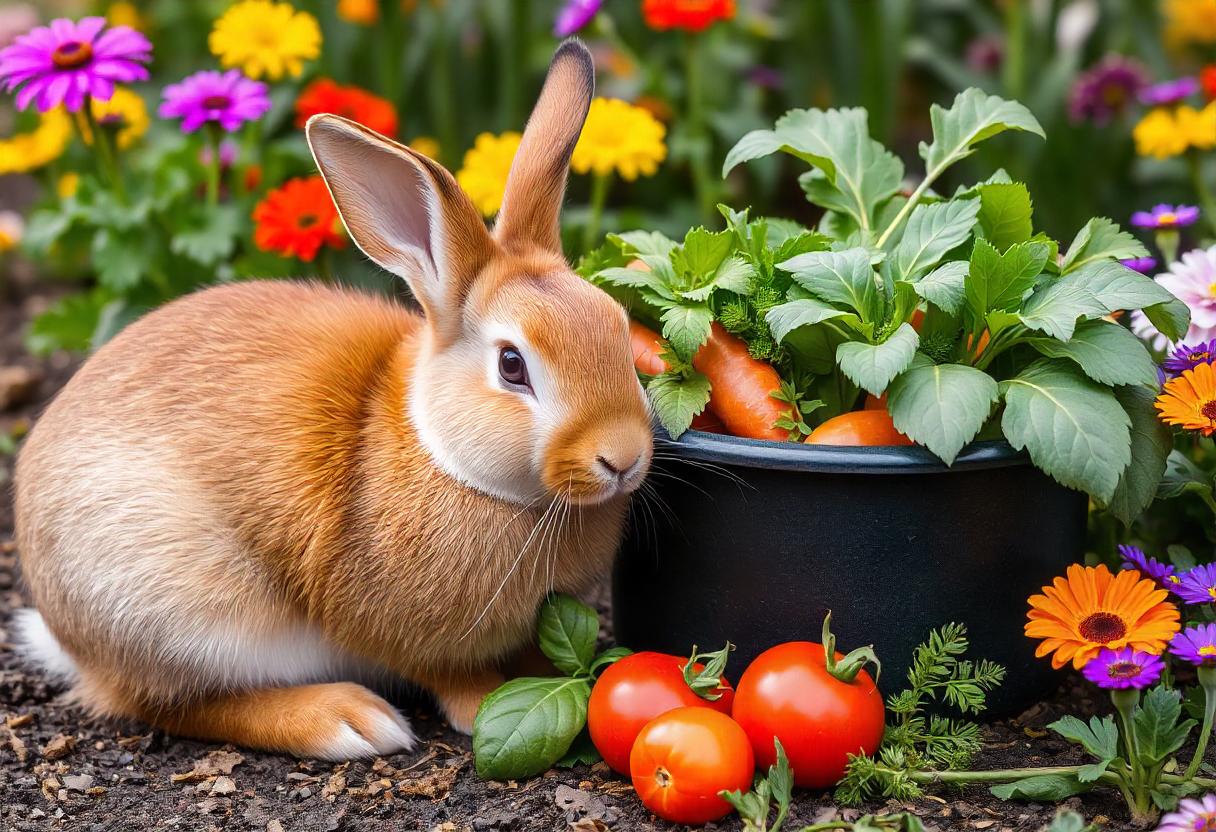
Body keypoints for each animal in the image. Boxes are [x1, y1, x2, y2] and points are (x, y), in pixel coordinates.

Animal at [11, 39, 653, 761]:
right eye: (512, 366)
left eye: (618, 327)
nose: (623, 457)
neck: (441, 454)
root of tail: (67, 636)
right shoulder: (393, 627)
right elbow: (443, 671)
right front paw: (479, 704)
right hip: (183, 615)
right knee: (168, 704)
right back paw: (345, 721)